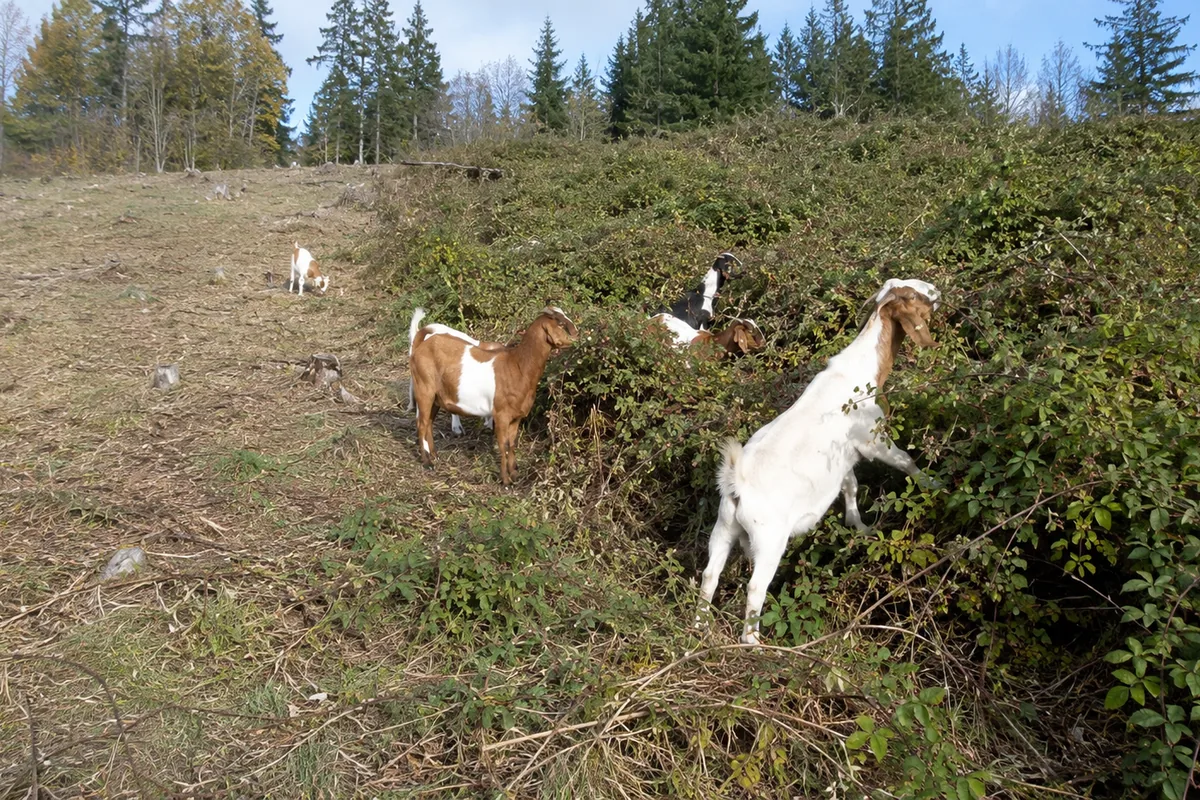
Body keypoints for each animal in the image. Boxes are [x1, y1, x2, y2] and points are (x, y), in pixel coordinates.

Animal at [409, 306, 578, 485]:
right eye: (560, 323)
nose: (577, 334)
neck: (518, 366)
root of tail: (421, 345)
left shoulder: (516, 417)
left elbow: (512, 444)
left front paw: (514, 474)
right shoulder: (501, 414)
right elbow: (503, 445)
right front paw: (505, 480)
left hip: (436, 396)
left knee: (429, 422)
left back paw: (434, 455)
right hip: (424, 388)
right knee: (421, 423)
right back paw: (427, 462)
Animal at [697, 279, 942, 644]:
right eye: (913, 295)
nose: (937, 291)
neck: (862, 372)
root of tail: (737, 482)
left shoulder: (843, 459)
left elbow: (851, 485)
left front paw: (861, 527)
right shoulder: (873, 439)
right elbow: (904, 461)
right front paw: (933, 483)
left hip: (725, 526)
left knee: (710, 573)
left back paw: (697, 628)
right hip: (769, 538)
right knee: (755, 586)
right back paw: (753, 642)